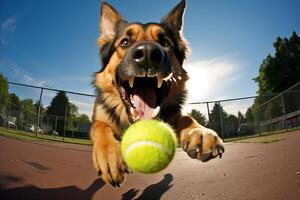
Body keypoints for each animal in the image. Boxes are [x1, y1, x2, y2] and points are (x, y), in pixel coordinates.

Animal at [91, 0, 225, 188]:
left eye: (165, 43)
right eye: (125, 42)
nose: (147, 53)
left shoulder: (173, 114)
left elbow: (187, 117)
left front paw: (201, 132)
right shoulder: (99, 119)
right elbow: (100, 126)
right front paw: (109, 155)